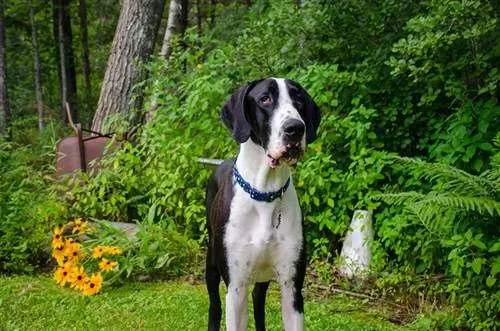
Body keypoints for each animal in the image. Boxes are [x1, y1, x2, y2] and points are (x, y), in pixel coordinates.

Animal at [206, 78, 320, 331]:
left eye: (298, 99)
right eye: (264, 99)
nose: (295, 128)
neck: (265, 192)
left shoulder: (292, 287)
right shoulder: (235, 288)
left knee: (258, 301)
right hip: (211, 263)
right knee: (214, 306)